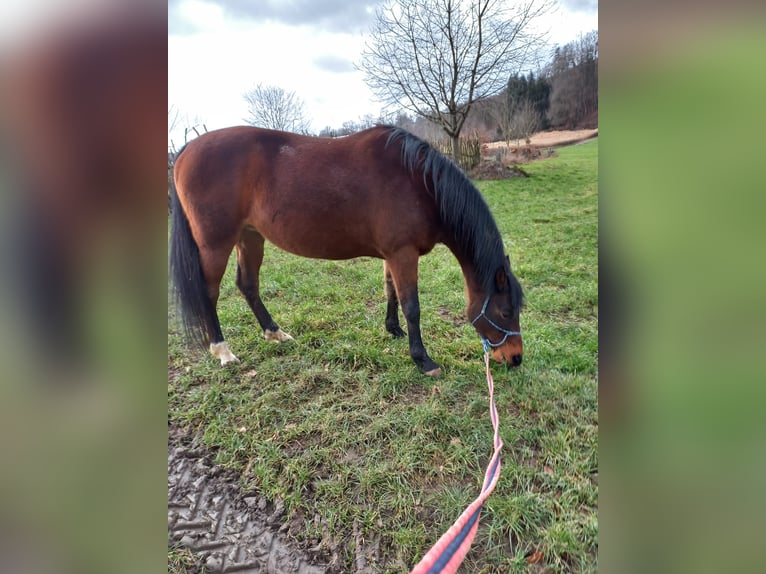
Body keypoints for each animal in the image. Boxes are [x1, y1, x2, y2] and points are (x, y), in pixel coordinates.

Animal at [169, 125, 524, 376]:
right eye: (506, 312)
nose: (516, 358)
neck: (418, 182)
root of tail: (185, 151)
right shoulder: (403, 254)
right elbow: (412, 305)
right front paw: (422, 359)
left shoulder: (393, 255)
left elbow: (390, 291)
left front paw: (393, 330)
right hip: (215, 244)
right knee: (210, 292)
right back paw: (223, 351)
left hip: (250, 237)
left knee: (247, 285)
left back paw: (275, 333)